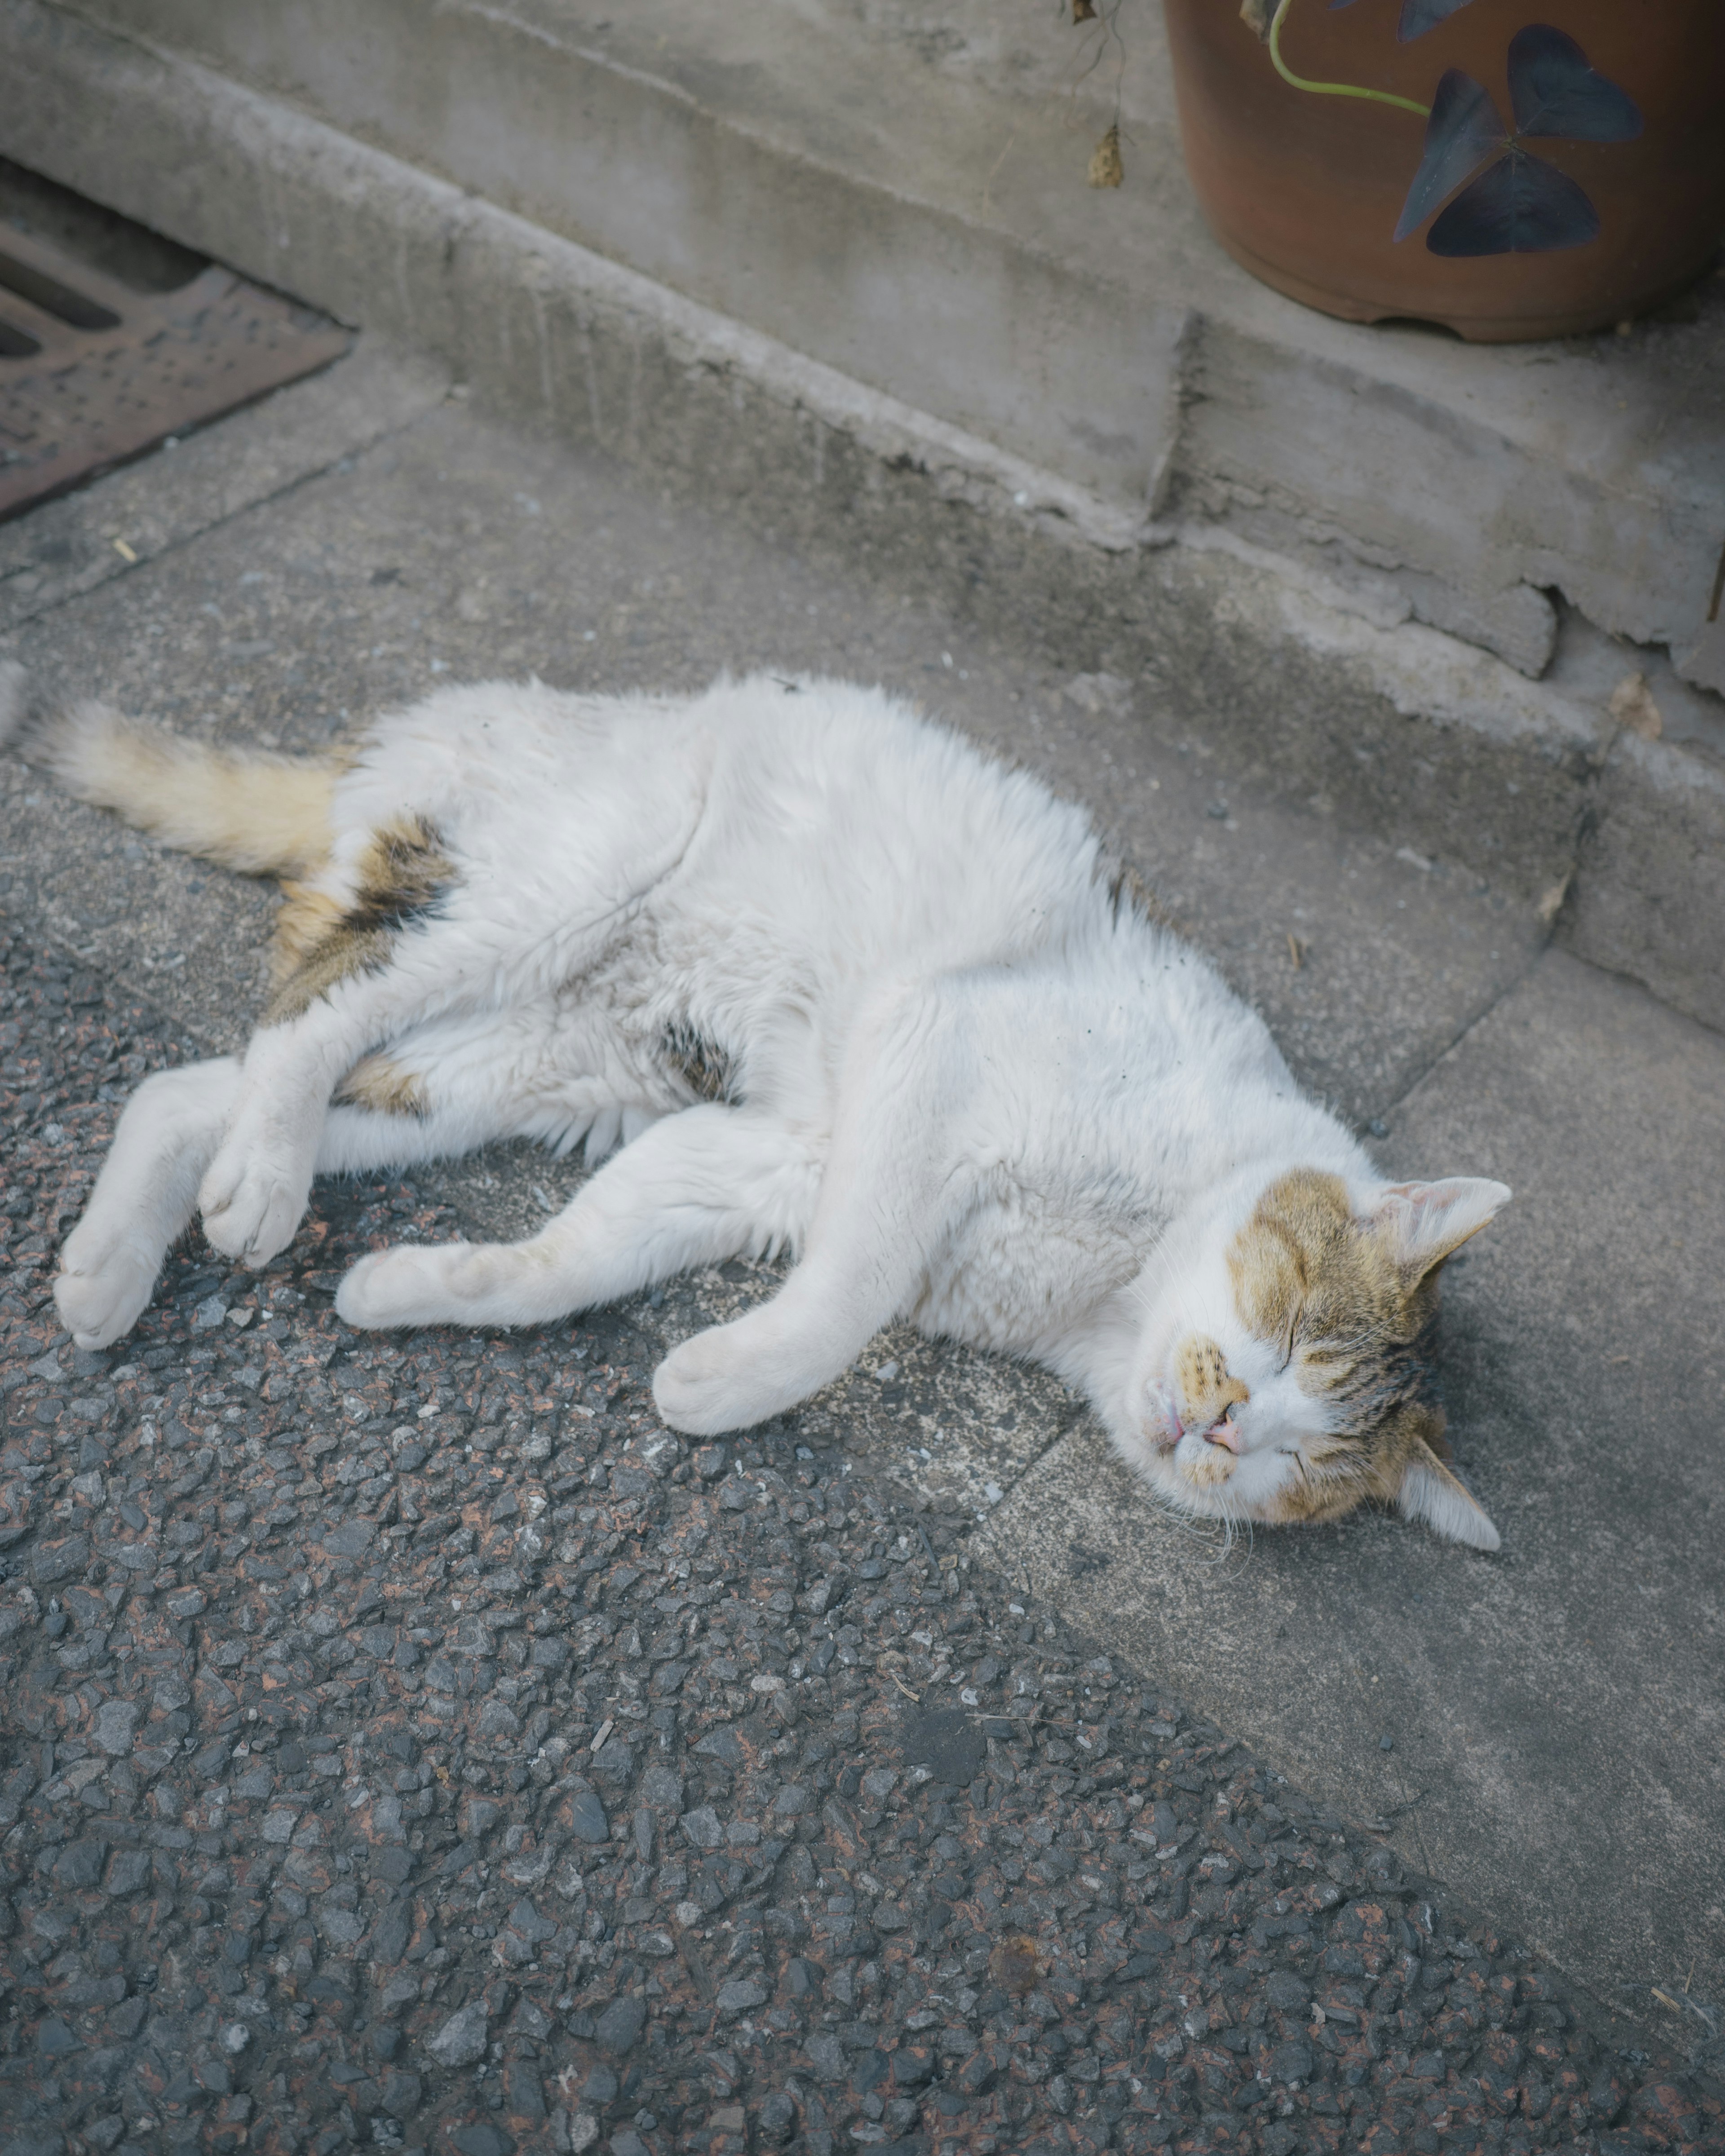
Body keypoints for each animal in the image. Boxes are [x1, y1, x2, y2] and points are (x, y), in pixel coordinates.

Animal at [0, 664, 1500, 1543]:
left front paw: (414, 1290)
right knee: (311, 1014)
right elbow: (842, 1298)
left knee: (197, 1080)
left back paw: (111, 1269)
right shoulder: (927, 1048)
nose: (1227, 1426)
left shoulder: (761, 1151)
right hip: (556, 887)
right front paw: (717, 1385)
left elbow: (575, 1256)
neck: (1110, 1284)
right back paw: (257, 1187)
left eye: (1301, 1464)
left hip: (550, 1064)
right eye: (1291, 1333)